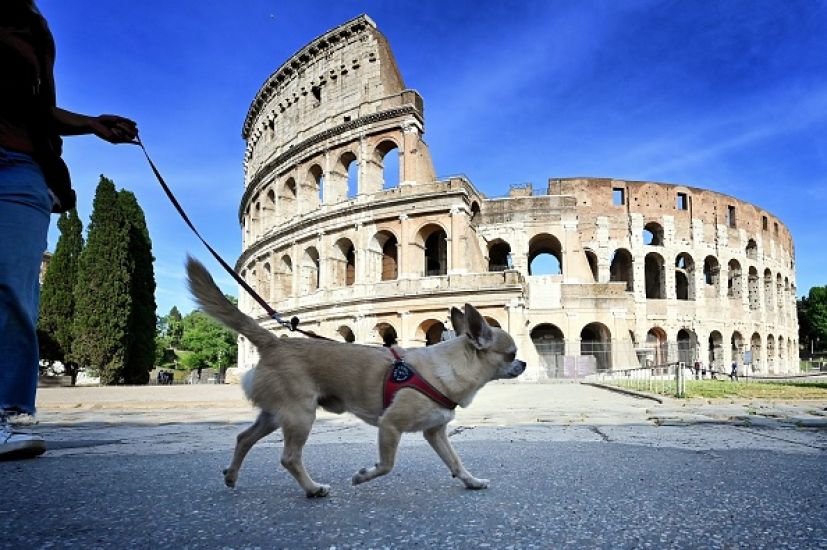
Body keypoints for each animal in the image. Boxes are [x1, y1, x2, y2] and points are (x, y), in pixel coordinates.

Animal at [185, 256, 528, 498]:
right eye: (511, 354)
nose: (524, 363)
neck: (445, 367)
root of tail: (275, 341)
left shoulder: (435, 433)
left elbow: (455, 462)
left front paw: (471, 481)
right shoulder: (390, 426)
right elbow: (387, 464)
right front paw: (362, 476)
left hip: (274, 415)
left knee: (244, 438)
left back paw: (232, 476)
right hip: (300, 416)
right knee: (289, 458)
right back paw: (313, 489)